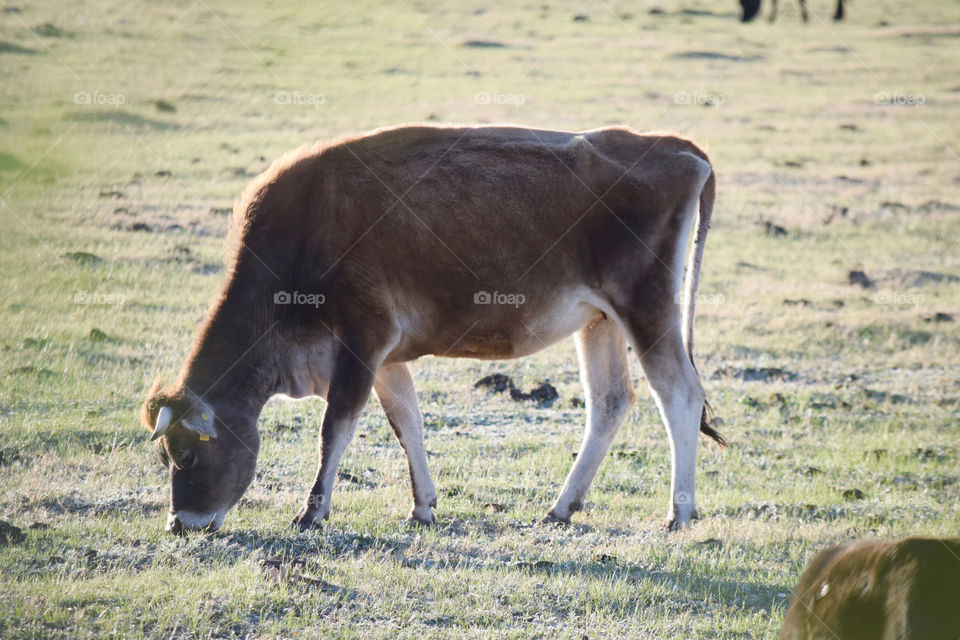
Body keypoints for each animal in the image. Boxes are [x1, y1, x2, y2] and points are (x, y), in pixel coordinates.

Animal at [140, 124, 725, 534]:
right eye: (165, 456)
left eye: (187, 454)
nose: (180, 525)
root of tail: (674, 147)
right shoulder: (387, 357)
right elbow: (408, 425)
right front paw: (422, 507)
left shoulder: (363, 337)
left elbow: (336, 428)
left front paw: (312, 513)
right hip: (599, 319)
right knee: (610, 402)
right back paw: (561, 508)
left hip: (647, 307)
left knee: (679, 394)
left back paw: (679, 513)